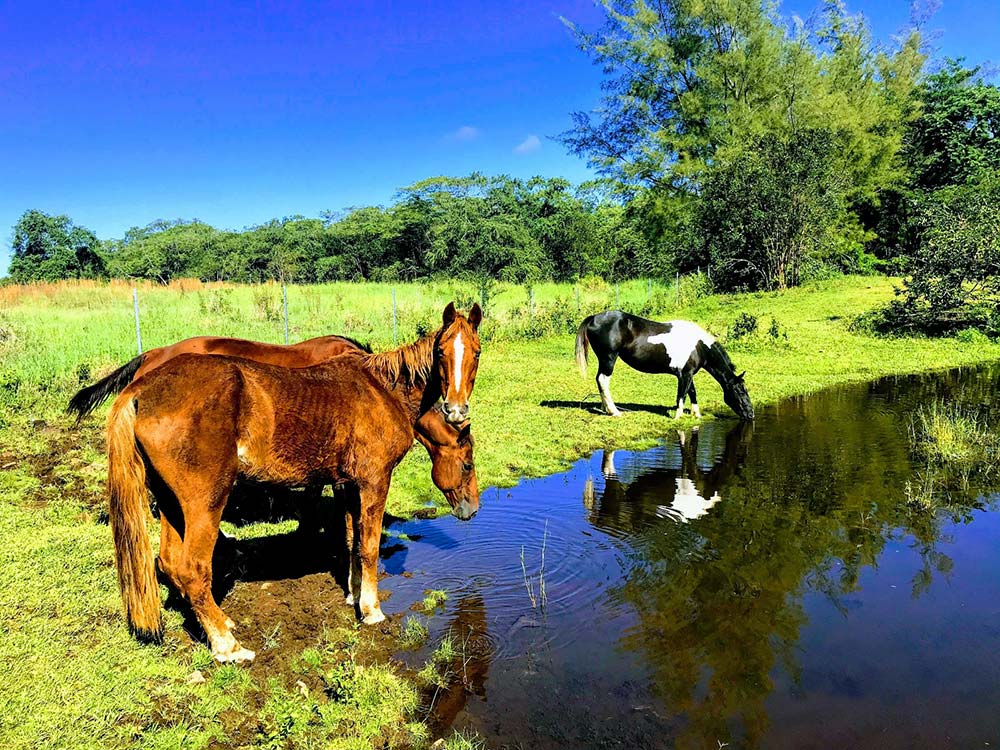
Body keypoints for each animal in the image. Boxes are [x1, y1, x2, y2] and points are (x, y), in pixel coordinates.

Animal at [108, 306, 480, 664]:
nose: (456, 409)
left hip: (171, 504)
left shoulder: (348, 484)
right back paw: (227, 646)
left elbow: (352, 539)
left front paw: (353, 593)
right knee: (192, 569)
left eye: (475, 352)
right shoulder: (374, 482)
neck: (382, 391)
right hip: (205, 504)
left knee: (169, 563)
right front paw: (371, 610)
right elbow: (369, 546)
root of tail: (143, 388)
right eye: (442, 351)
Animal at [576, 312, 752, 424]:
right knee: (603, 380)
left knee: (600, 381)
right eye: (741, 391)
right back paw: (614, 411)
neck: (699, 346)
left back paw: (606, 409)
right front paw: (678, 418)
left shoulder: (688, 374)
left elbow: (692, 392)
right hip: (609, 359)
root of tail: (593, 318)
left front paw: (697, 415)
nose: (751, 414)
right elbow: (681, 396)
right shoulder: (684, 375)